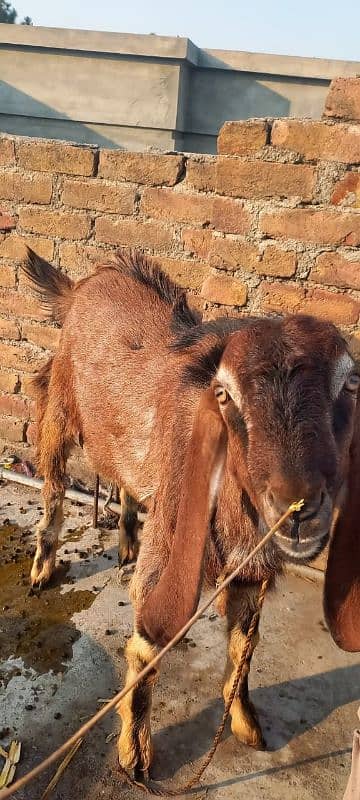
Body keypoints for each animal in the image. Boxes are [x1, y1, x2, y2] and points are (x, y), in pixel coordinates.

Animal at [22, 250, 360, 776]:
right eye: (224, 394)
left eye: (350, 383)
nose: (298, 508)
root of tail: (81, 285)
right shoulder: (173, 542)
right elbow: (146, 646)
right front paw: (135, 755)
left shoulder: (251, 570)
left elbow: (244, 647)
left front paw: (246, 724)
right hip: (58, 408)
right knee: (54, 487)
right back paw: (42, 569)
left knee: (126, 481)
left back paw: (126, 544)